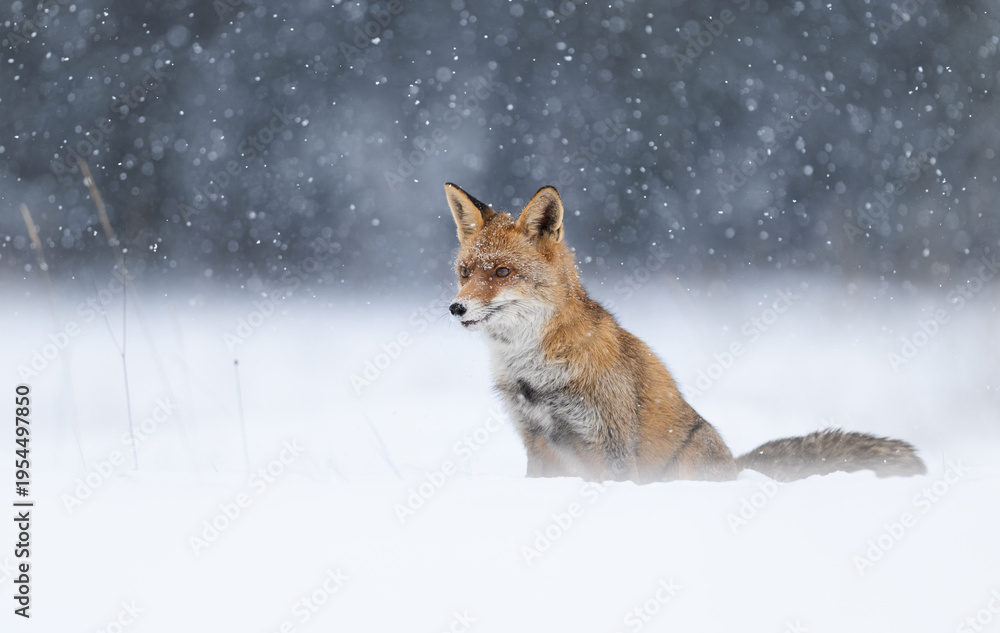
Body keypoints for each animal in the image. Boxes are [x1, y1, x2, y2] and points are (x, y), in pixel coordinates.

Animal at [444, 182, 927, 483]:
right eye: (465, 272)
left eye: (502, 272)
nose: (456, 307)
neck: (533, 371)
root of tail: (735, 467)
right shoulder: (537, 442)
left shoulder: (608, 441)